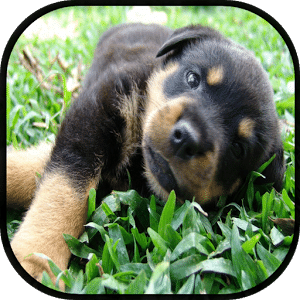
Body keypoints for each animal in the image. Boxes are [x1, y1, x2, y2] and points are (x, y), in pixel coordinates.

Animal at [5, 22, 284, 286]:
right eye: (192, 79)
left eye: (238, 149)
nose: (187, 138)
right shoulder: (94, 115)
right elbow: (62, 189)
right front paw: (38, 260)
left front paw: (38, 262)